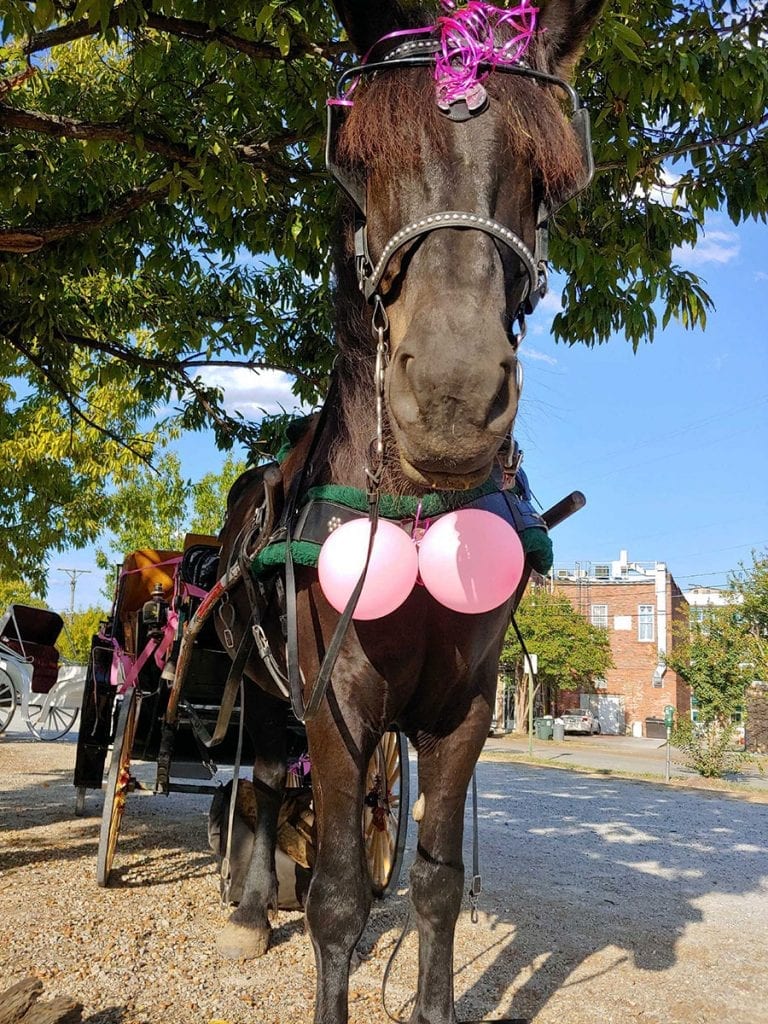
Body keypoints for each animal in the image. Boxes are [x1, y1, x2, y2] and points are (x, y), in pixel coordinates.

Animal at [211, 4, 606, 1019]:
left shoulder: (466, 708)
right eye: (359, 160)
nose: (455, 397)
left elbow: (433, 883)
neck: (419, 515)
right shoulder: (335, 704)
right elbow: (340, 898)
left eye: (548, 174)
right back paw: (250, 907)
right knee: (262, 782)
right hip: (267, 689)